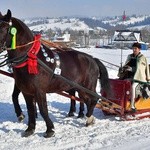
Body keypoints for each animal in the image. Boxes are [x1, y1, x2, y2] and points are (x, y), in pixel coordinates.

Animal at [0, 9, 109, 138]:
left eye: (3, 27)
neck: (31, 58)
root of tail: (92, 59)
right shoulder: (27, 91)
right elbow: (30, 109)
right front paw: (30, 128)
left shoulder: (39, 90)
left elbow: (43, 109)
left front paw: (49, 129)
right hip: (80, 88)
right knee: (86, 100)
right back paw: (87, 117)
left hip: (88, 86)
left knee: (94, 99)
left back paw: (87, 117)